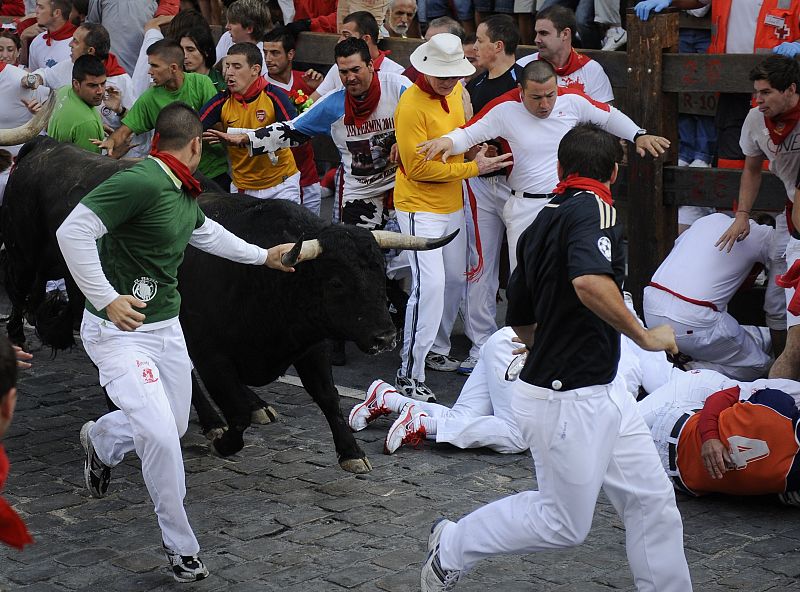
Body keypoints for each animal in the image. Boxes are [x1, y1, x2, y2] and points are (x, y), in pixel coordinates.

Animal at [0, 136, 440, 474]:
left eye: (379, 275)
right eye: (336, 282)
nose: (385, 337)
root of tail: (47, 145)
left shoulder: (310, 345)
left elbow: (327, 397)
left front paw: (351, 453)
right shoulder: (212, 352)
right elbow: (237, 411)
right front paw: (227, 439)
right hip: (26, 260)